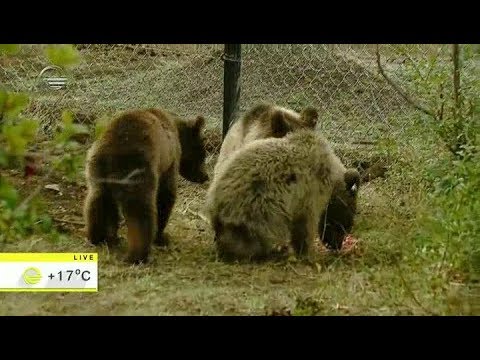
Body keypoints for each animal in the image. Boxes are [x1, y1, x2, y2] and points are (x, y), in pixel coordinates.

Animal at [84, 108, 208, 262]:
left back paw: (98, 237)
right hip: (137, 168)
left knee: (97, 200)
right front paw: (161, 237)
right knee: (140, 209)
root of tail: (112, 151)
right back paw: (138, 254)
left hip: (97, 169)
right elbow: (166, 195)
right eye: (202, 155)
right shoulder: (169, 161)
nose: (205, 176)